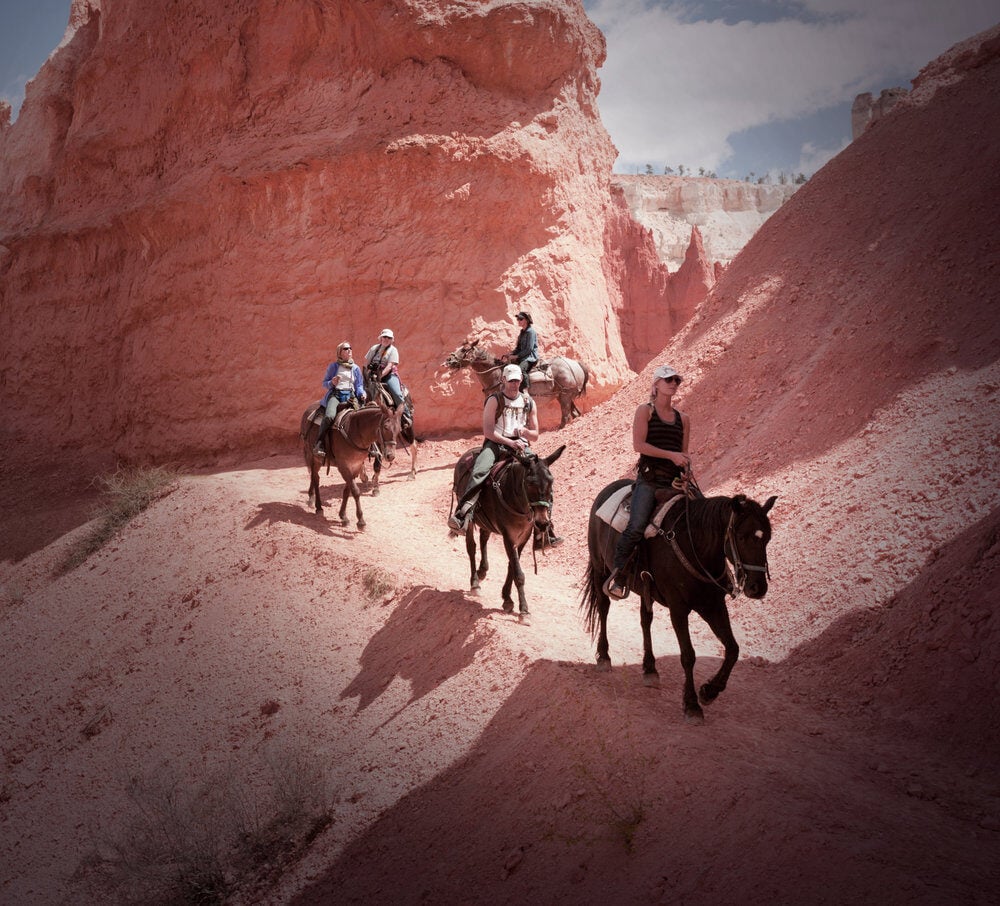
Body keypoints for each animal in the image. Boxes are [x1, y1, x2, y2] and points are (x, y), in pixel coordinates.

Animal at [444, 340, 584, 430]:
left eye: (464, 349)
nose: (449, 360)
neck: (496, 376)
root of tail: (576, 364)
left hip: (565, 396)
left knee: (566, 415)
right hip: (563, 396)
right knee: (574, 414)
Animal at [452, 444, 564, 620]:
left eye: (551, 481)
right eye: (529, 483)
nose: (542, 523)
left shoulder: (523, 537)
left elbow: (512, 565)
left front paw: (507, 599)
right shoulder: (508, 537)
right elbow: (518, 572)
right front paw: (524, 610)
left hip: (486, 522)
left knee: (483, 539)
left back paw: (482, 570)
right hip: (467, 517)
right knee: (471, 547)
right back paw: (475, 583)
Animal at [584, 480, 776, 720]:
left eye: (767, 538)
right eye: (741, 537)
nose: (757, 588)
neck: (696, 546)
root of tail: (609, 488)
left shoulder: (713, 606)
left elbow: (733, 649)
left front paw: (709, 691)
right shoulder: (678, 609)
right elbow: (688, 656)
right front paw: (692, 705)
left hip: (644, 588)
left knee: (645, 620)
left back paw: (650, 669)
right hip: (600, 569)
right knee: (603, 608)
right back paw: (603, 657)